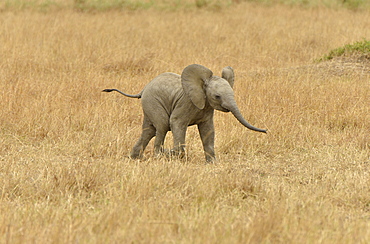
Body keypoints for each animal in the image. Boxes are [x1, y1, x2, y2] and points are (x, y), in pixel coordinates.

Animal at [103, 63, 266, 161]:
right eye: (217, 96)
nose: (266, 131)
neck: (202, 85)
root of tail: (143, 89)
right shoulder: (187, 103)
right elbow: (176, 123)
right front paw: (174, 154)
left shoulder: (207, 108)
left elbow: (208, 130)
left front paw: (212, 163)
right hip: (152, 101)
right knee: (162, 125)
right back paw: (159, 154)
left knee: (149, 130)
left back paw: (135, 158)